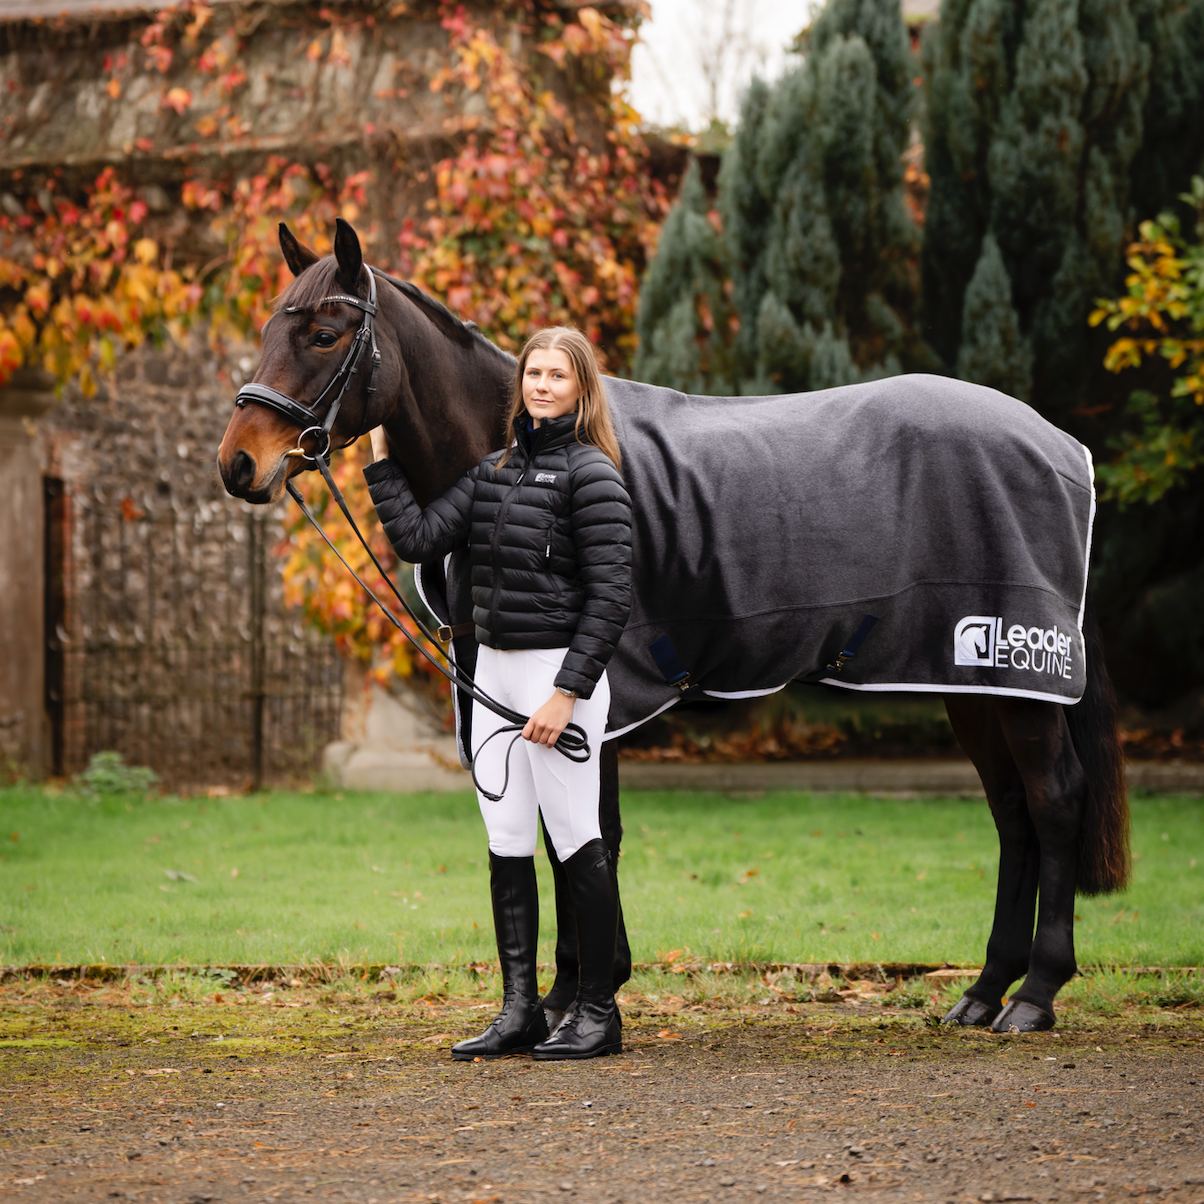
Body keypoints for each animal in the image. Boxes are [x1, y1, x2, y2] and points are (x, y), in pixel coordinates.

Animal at [217, 219, 1130, 1035]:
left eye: (325, 333)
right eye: (267, 328)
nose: (238, 463)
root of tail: (1061, 447)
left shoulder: (595, 694)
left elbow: (588, 835)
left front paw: (583, 999)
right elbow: (562, 837)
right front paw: (566, 999)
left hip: (1016, 676)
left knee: (1052, 802)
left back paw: (1033, 997)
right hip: (969, 681)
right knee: (1011, 812)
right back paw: (982, 993)